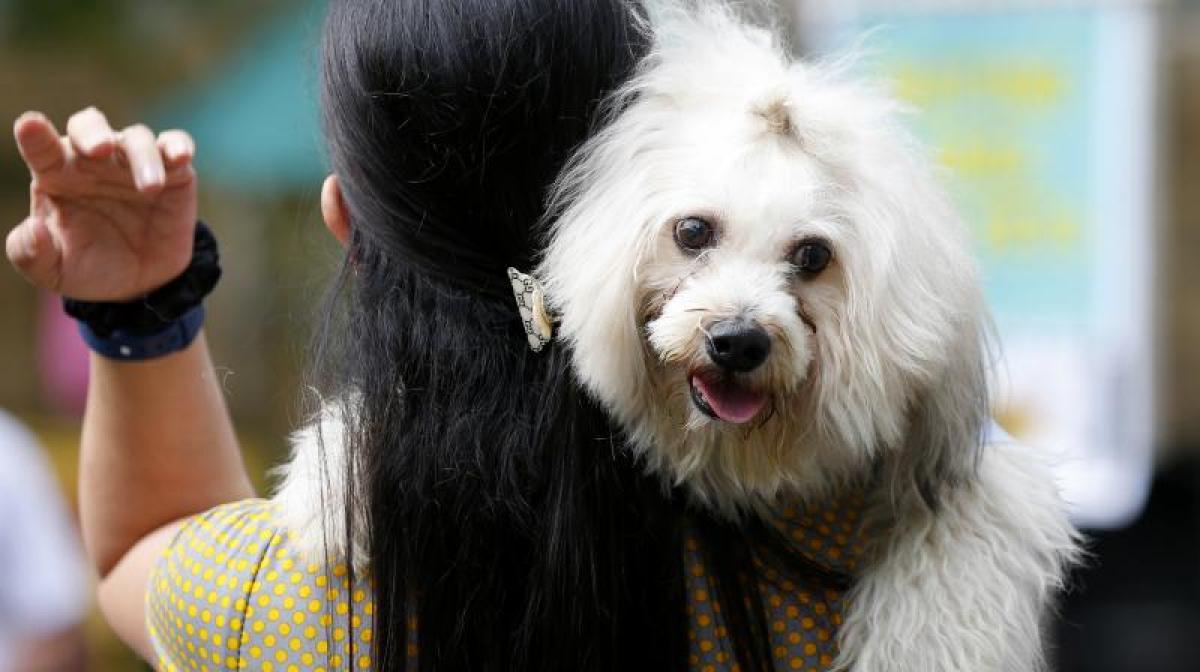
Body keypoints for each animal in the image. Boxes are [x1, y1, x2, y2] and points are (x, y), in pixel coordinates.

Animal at [276, 3, 1084, 667]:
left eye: (813, 256)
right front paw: (329, 491)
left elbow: (951, 552)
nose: (738, 340)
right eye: (692, 230)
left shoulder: (963, 477)